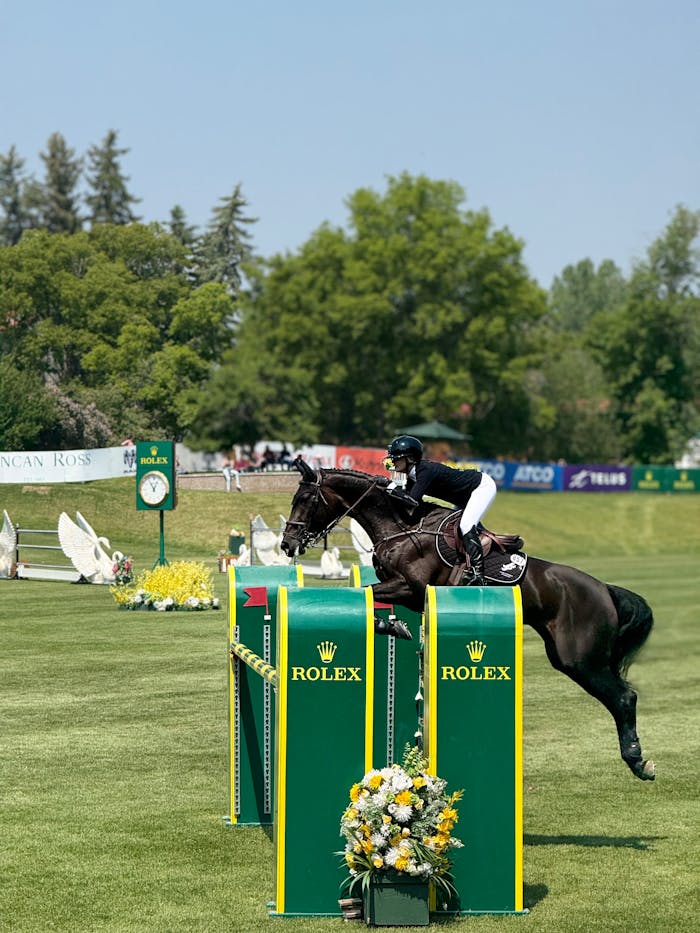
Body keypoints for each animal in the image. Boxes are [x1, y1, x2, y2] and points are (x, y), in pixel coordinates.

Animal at [280, 460, 656, 782]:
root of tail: (604, 589)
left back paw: (638, 761)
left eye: (304, 499)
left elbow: (364, 592)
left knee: (624, 698)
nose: (287, 544)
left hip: (580, 660)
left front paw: (392, 626)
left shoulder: (410, 587)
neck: (401, 528)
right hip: (570, 658)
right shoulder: (406, 593)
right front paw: (393, 626)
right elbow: (368, 596)